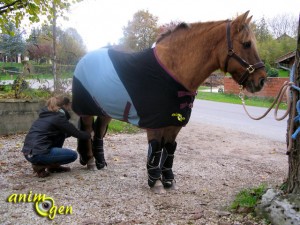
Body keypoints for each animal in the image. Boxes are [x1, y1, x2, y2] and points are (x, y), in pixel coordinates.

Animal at [71, 11, 266, 193]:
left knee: (98, 133)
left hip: (106, 111)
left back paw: (101, 162)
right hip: (86, 111)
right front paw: (156, 182)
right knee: (87, 131)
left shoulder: (174, 122)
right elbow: (156, 148)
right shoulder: (155, 123)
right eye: (247, 44)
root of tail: (82, 60)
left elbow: (169, 149)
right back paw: (90, 162)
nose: (262, 80)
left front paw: (169, 181)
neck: (173, 71)